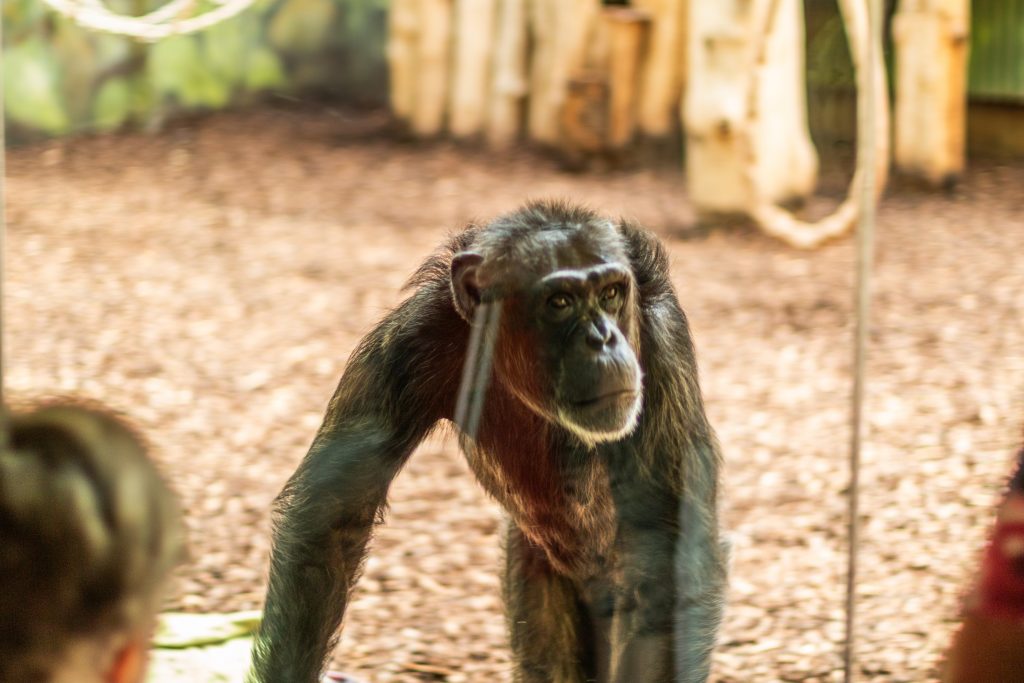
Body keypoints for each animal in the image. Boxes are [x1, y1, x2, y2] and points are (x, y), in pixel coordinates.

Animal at [245, 200, 729, 679]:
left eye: (611, 293)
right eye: (560, 301)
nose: (604, 339)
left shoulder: (662, 343)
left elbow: (659, 550)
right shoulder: (407, 343)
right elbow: (332, 519)